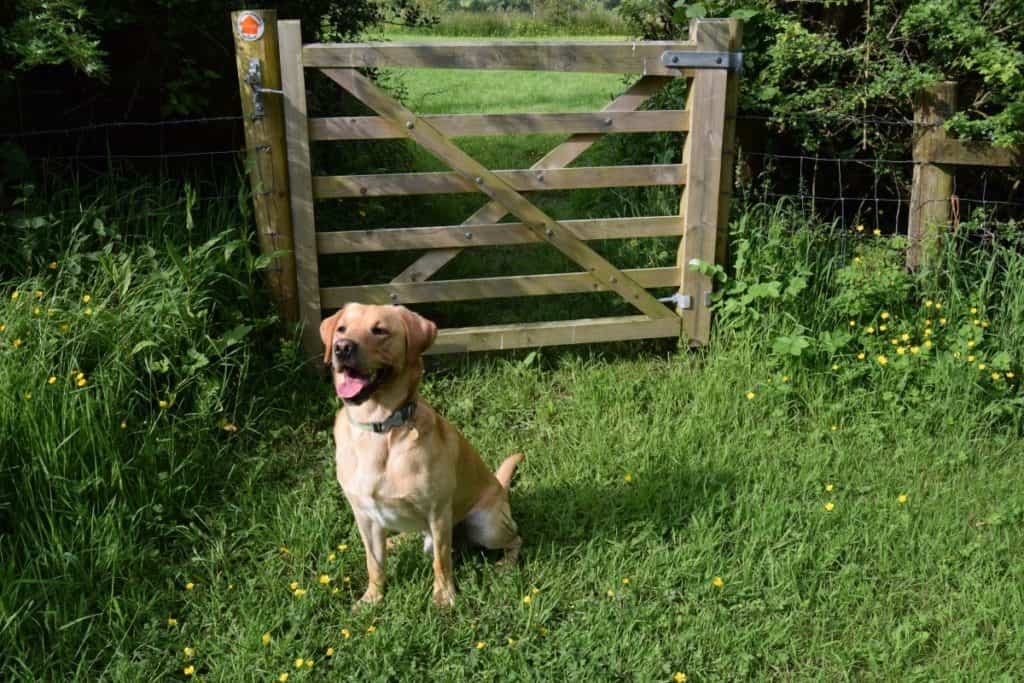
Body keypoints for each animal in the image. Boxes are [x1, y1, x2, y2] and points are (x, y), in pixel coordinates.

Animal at [319, 301, 524, 606]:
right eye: (342, 328)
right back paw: (394, 541)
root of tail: (501, 488)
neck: (379, 428)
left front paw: (444, 597)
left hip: (487, 525)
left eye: (379, 330)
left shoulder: (437, 512)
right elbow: (373, 563)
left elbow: (441, 561)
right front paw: (372, 597)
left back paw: (506, 565)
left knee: (516, 538)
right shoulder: (364, 515)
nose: (341, 347)